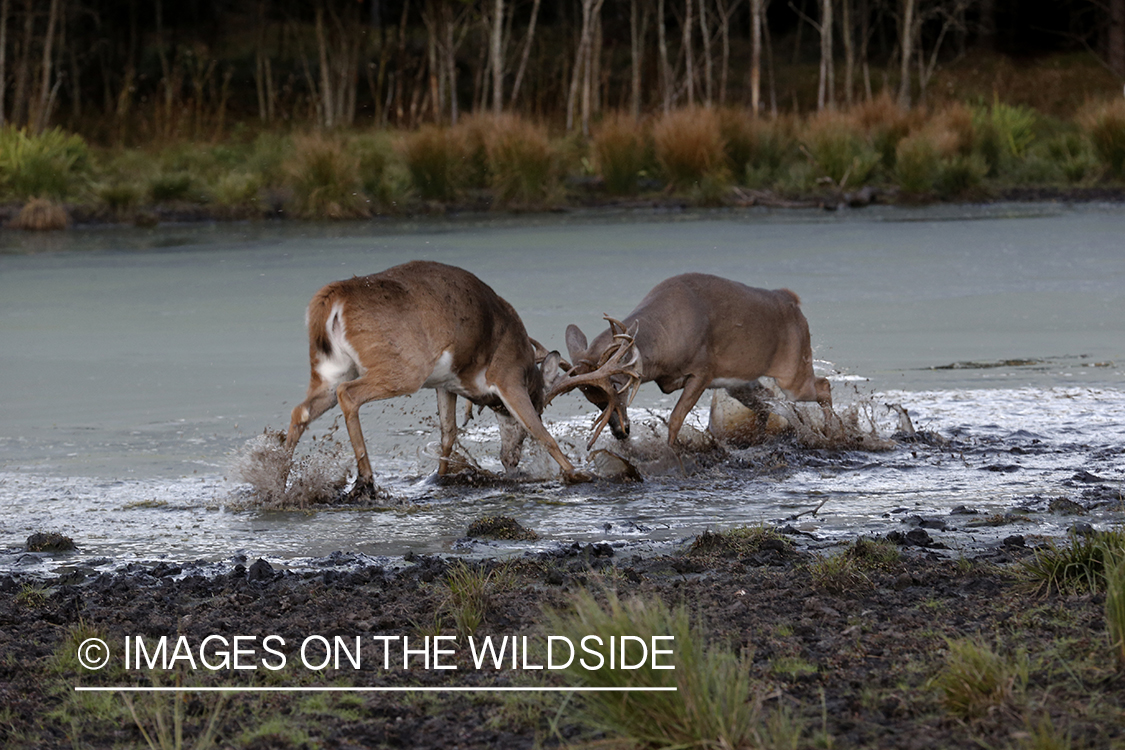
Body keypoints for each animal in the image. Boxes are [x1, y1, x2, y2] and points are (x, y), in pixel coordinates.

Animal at [290, 260, 607, 494]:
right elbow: (541, 432)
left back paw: (282, 481)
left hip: (329, 368)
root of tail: (334, 297)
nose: (511, 459)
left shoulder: (446, 383)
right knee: (348, 394)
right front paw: (577, 474)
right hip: (405, 368)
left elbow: (448, 433)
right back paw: (366, 479)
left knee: (301, 410)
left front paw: (439, 477)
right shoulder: (507, 375)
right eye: (540, 406)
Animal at [549, 275, 832, 452]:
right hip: (740, 383)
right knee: (768, 406)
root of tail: (792, 300)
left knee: (823, 386)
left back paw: (832, 432)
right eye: (592, 400)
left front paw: (672, 451)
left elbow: (675, 419)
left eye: (619, 387)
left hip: (793, 370)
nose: (620, 431)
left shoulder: (703, 369)